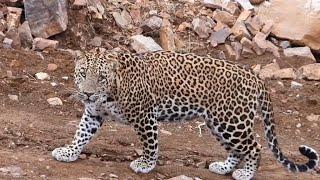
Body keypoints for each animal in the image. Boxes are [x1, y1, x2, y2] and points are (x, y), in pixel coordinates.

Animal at [52, 49, 318, 180]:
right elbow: (81, 134)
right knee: (236, 149)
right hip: (217, 123)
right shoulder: (93, 113)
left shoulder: (145, 116)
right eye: (83, 73)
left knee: (254, 146)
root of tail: (255, 76)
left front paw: (145, 165)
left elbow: (150, 144)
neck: (111, 90)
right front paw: (68, 152)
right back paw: (224, 167)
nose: (87, 93)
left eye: (101, 77)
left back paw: (245, 173)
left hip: (231, 121)